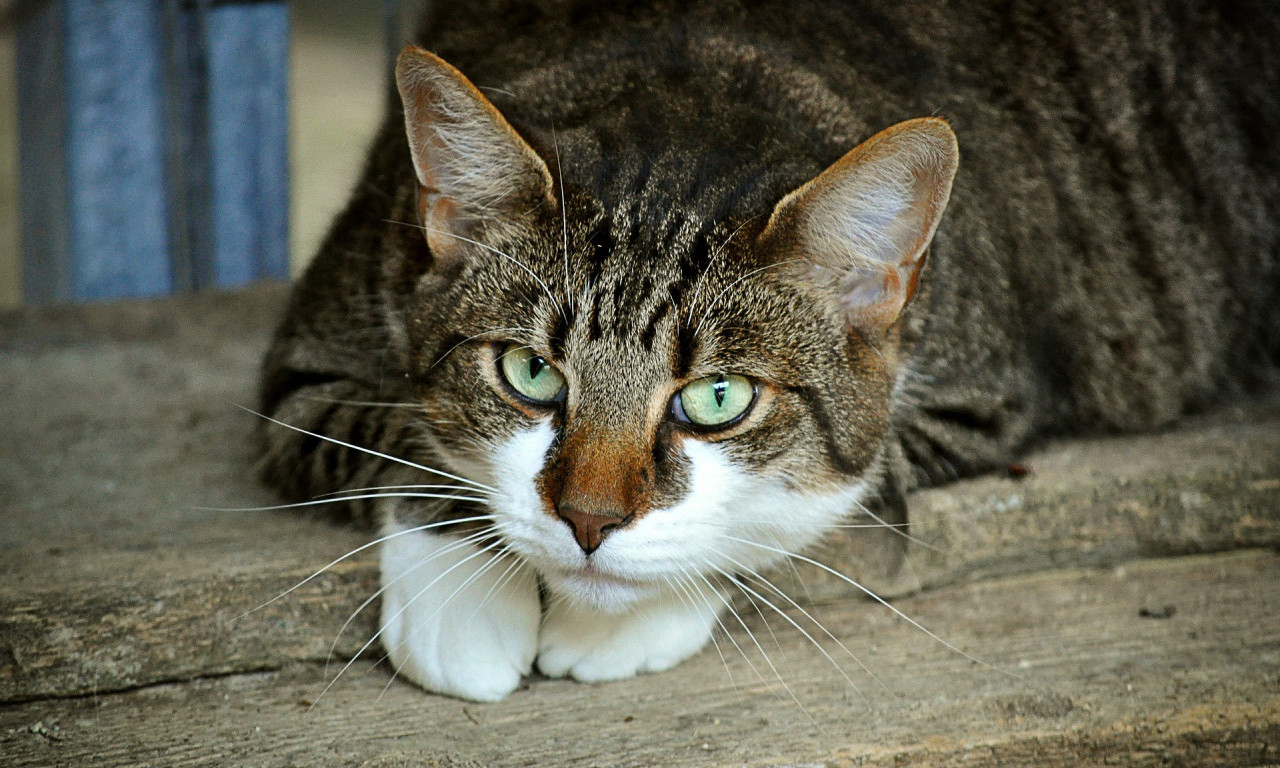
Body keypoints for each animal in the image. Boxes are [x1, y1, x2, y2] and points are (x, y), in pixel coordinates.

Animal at [254, 0, 1274, 701]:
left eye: (717, 399)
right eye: (531, 373)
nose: (587, 522)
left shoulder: (977, 401)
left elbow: (818, 497)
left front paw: (609, 625)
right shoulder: (313, 355)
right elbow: (398, 433)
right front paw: (464, 607)